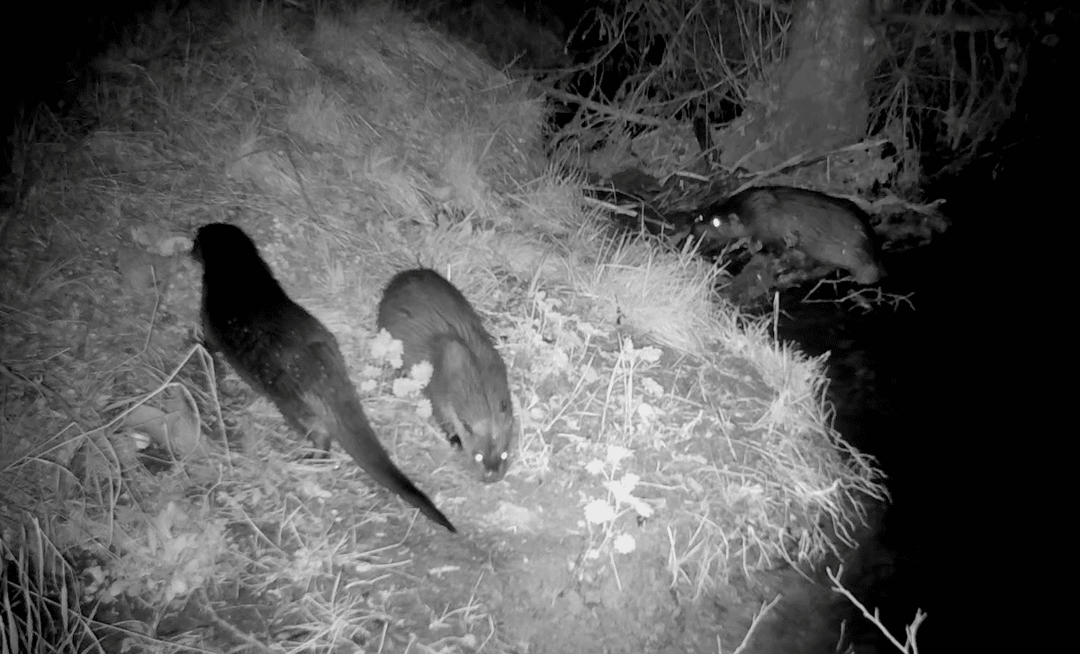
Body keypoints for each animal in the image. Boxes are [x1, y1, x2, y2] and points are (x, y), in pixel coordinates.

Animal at [378, 268, 516, 483]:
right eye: (478, 456)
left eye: (504, 454)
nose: (492, 476)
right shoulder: (438, 392)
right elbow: (442, 416)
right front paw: (455, 440)